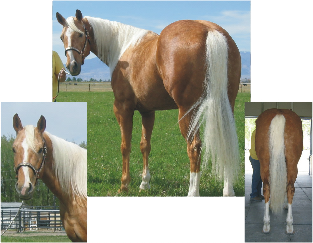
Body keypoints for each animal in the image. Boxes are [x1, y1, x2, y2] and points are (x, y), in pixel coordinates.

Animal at [56, 9, 241, 196]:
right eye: (62, 37)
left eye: (80, 34)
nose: (72, 66)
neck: (122, 47)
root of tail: (209, 31)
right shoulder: (148, 111)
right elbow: (145, 145)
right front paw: (144, 183)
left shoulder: (123, 108)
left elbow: (125, 145)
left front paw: (124, 185)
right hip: (226, 107)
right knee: (227, 144)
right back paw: (228, 191)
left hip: (188, 111)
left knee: (194, 147)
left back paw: (192, 193)